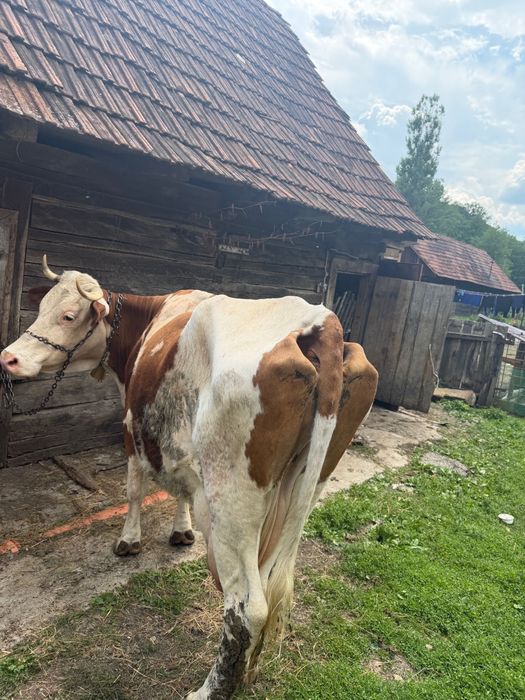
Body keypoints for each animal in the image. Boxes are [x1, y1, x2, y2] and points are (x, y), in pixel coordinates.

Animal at [0, 256, 378, 699]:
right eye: (41, 307)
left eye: (69, 315)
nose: (8, 357)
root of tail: (322, 322)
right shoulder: (178, 450)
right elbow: (178, 490)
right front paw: (182, 531)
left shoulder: (130, 427)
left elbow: (133, 488)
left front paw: (129, 540)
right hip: (300, 490)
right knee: (271, 586)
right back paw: (247, 674)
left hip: (232, 501)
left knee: (248, 606)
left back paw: (209, 690)